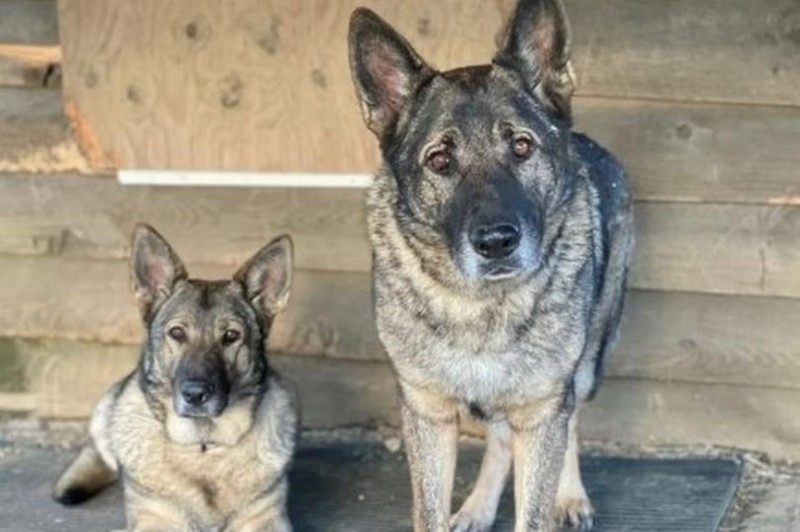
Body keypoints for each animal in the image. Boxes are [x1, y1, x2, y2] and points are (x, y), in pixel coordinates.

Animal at [51, 225, 298, 532]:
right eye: (177, 333)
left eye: (231, 336)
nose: (195, 395)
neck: (203, 446)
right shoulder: (153, 521)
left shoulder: (267, 521)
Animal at [346, 1, 636, 528]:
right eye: (439, 160)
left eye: (521, 147)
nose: (497, 242)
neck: (478, 305)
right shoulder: (427, 412)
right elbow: (430, 511)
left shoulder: (543, 408)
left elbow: (537, 501)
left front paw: (556, 498)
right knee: (501, 440)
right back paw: (478, 507)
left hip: (587, 366)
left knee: (571, 421)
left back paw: (570, 496)